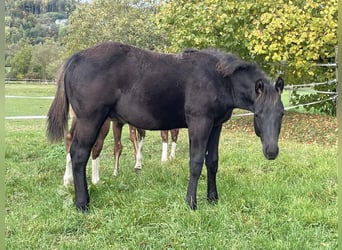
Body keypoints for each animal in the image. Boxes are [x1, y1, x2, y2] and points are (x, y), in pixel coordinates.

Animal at [46, 41, 284, 211]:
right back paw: (82, 204)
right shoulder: (200, 123)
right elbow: (196, 162)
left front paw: (213, 199)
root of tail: (75, 58)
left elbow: (212, 162)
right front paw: (191, 203)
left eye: (281, 113)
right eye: (259, 114)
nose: (271, 152)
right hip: (91, 120)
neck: (218, 79)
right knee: (79, 154)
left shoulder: (216, 126)